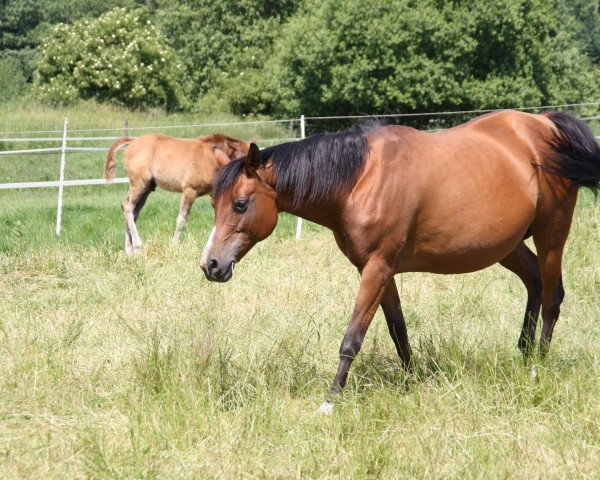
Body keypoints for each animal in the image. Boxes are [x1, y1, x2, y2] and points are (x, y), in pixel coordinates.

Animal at [105, 133, 248, 253]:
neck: (211, 157)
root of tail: (132, 142)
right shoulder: (189, 190)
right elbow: (182, 219)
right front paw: (174, 245)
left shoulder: (216, 193)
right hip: (139, 184)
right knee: (128, 207)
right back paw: (137, 246)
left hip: (146, 189)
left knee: (132, 210)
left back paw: (129, 249)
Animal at [198, 110, 600, 410]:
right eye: (213, 203)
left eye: (240, 204)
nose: (210, 264)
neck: (361, 178)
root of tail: (545, 125)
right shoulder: (378, 269)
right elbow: (398, 329)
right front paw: (411, 383)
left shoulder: (377, 268)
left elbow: (352, 338)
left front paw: (331, 400)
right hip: (509, 245)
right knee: (535, 283)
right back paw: (524, 356)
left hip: (551, 234)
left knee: (551, 297)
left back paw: (537, 369)